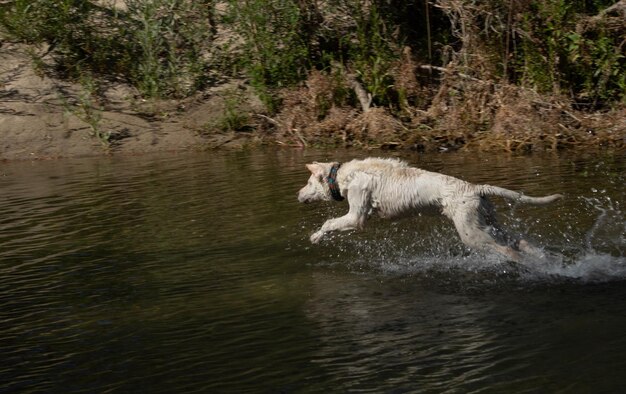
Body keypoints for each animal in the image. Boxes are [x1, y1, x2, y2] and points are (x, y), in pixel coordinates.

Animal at [296, 157, 560, 262]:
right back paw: (544, 259)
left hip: (472, 233)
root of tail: (475, 188)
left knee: (508, 250)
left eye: (308, 183)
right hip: (487, 222)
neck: (342, 176)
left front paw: (316, 237)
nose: (298, 195)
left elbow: (329, 223)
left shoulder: (356, 217)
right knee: (519, 241)